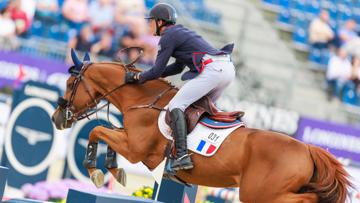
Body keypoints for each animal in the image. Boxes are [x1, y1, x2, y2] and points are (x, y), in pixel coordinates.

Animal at [51, 52, 352, 203]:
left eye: (70, 84)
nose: (57, 118)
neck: (142, 101)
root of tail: (308, 149)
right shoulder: (129, 141)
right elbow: (105, 131)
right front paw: (114, 170)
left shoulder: (136, 149)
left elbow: (97, 131)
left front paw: (97, 173)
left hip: (262, 194)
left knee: (307, 200)